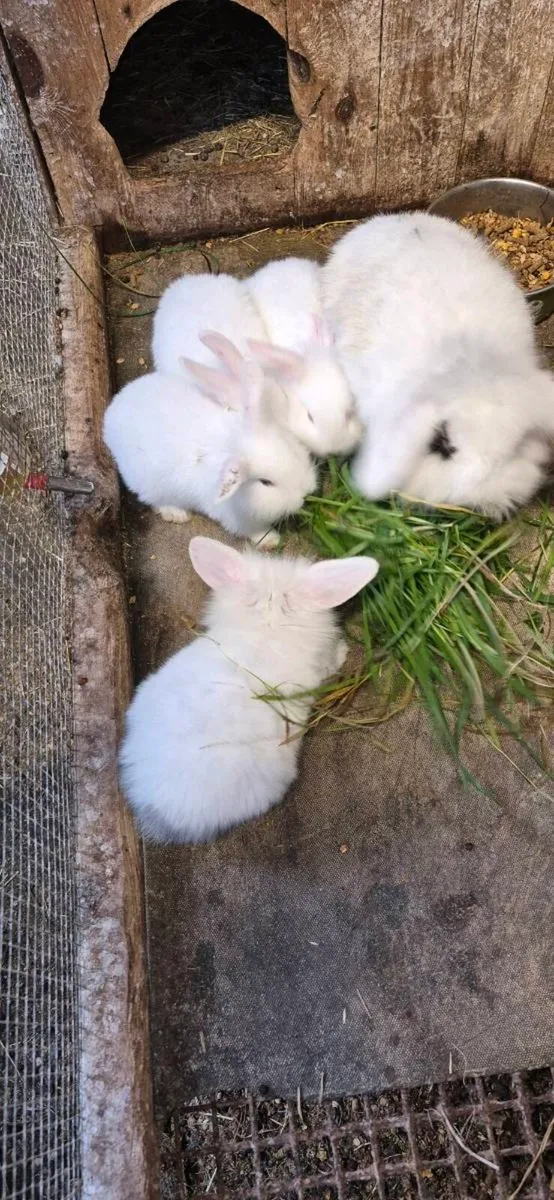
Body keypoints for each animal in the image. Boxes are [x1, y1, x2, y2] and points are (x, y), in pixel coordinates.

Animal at [103, 334, 317, 546]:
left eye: (292, 449)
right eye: (266, 483)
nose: (306, 493)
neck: (230, 442)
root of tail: (110, 414)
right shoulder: (236, 518)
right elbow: (254, 530)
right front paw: (271, 540)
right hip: (151, 485)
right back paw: (177, 514)